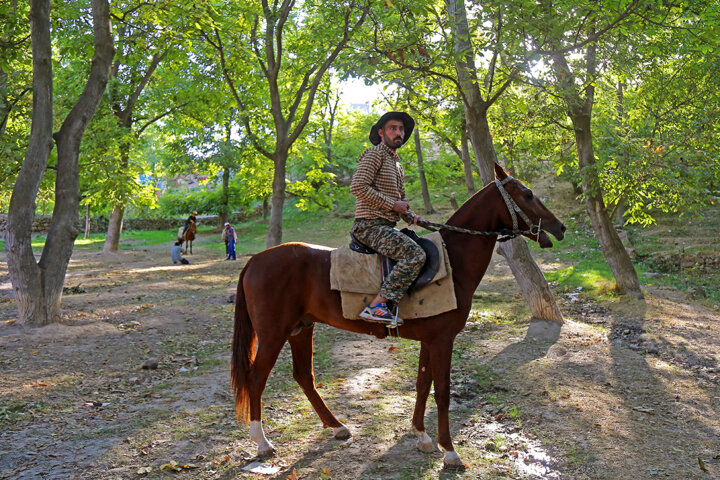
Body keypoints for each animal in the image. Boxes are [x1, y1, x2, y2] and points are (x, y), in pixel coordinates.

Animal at [231, 164, 568, 468]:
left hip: (301, 329)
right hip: (274, 334)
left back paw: (337, 427)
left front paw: (422, 435)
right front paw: (450, 451)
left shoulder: (430, 340)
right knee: (256, 378)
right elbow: (442, 392)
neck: (453, 260)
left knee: (304, 376)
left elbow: (422, 384)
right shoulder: (443, 340)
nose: (560, 227)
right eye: (528, 194)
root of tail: (256, 261)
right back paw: (262, 443)